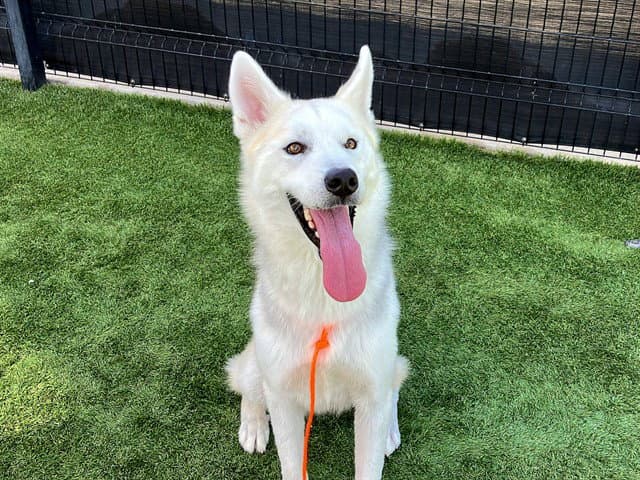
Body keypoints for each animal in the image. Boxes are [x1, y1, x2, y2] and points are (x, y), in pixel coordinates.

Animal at [225, 45, 408, 480]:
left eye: (351, 143)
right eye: (295, 148)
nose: (343, 179)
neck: (322, 292)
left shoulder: (371, 391)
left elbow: (370, 462)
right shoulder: (283, 397)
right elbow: (291, 465)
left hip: (390, 364)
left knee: (395, 386)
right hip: (258, 364)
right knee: (246, 385)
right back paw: (253, 425)